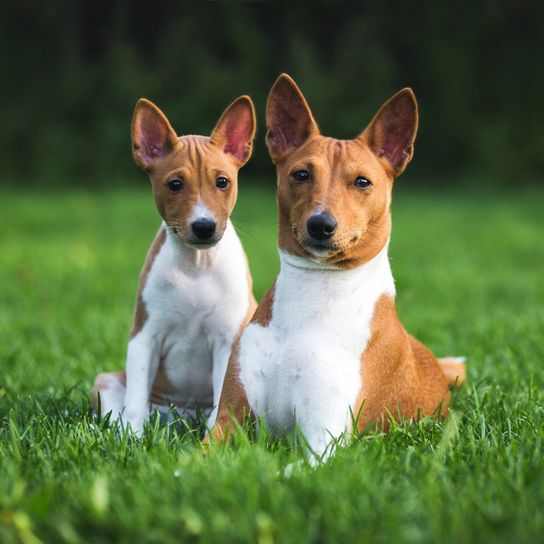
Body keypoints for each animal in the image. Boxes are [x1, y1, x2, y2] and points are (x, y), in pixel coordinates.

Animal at [206, 74, 466, 462]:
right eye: (301, 174)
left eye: (362, 182)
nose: (321, 224)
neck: (314, 293)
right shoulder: (228, 421)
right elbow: (190, 460)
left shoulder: (322, 442)